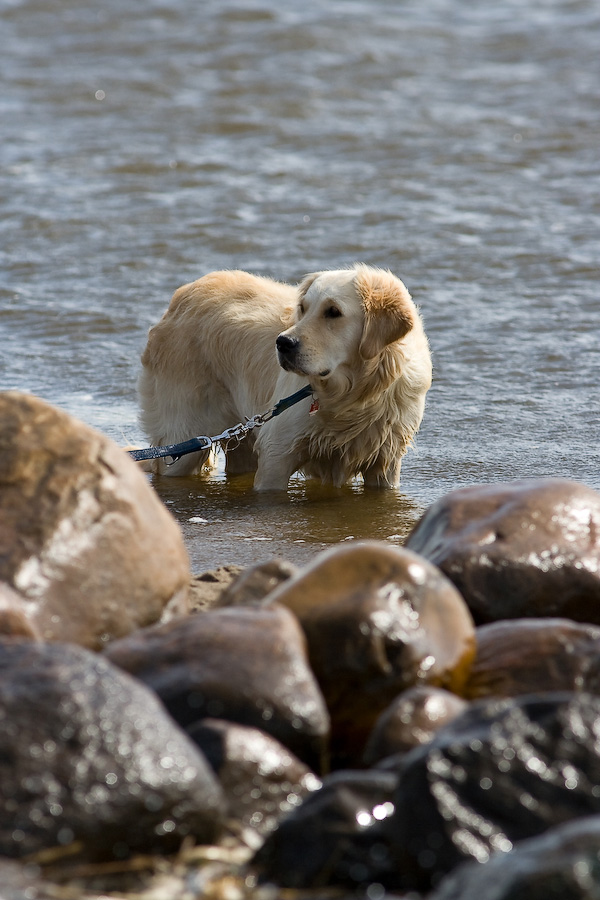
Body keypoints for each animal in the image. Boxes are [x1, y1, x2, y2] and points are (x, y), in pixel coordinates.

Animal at [138, 266, 432, 492]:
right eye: (303, 308)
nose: (283, 343)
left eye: (333, 312)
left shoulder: (386, 461)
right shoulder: (277, 453)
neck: (354, 394)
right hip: (183, 437)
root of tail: (180, 298)